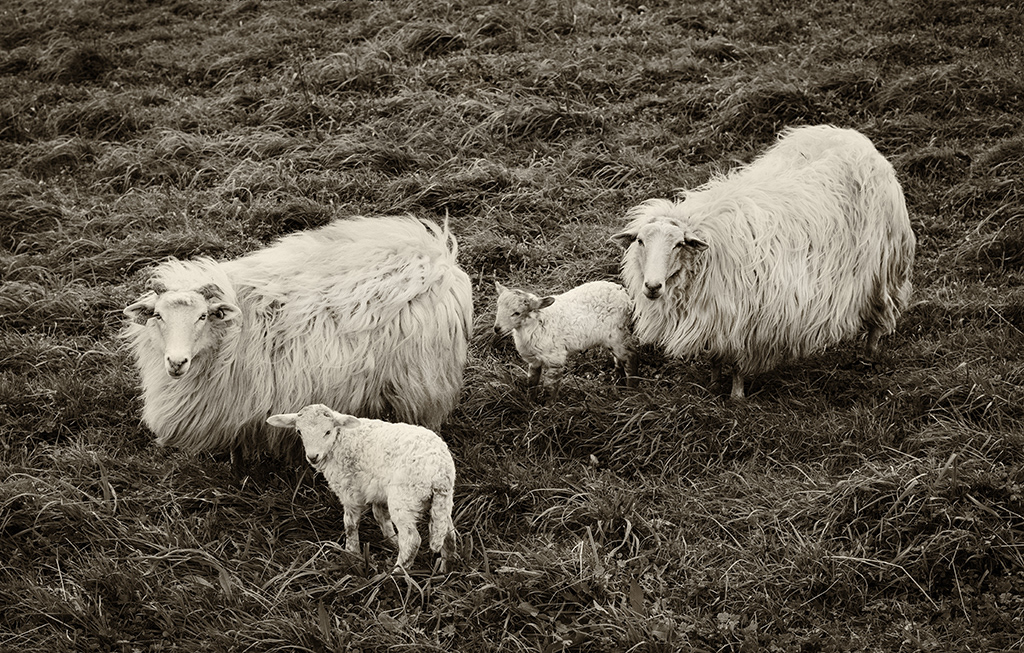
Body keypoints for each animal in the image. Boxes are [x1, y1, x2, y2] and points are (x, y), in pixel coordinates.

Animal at [266, 404, 457, 572]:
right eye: (299, 431)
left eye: (327, 432)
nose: (313, 457)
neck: (339, 440)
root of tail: (440, 471)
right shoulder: (378, 489)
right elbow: (381, 516)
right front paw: (391, 541)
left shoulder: (349, 490)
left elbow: (350, 524)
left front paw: (352, 553)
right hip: (441, 500)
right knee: (448, 533)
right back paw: (444, 570)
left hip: (404, 497)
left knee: (412, 540)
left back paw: (394, 575)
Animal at [492, 280, 638, 401]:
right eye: (498, 307)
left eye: (517, 313)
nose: (497, 329)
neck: (534, 325)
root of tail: (625, 295)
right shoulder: (534, 361)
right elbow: (532, 383)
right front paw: (530, 403)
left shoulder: (555, 358)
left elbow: (550, 387)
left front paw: (548, 408)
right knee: (619, 360)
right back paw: (618, 384)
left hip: (616, 334)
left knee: (630, 356)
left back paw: (631, 391)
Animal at [612, 125, 916, 400]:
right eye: (640, 242)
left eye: (678, 244)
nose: (652, 286)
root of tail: (855, 138)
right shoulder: (716, 314)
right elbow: (715, 355)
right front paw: (713, 385)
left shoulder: (747, 319)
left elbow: (737, 364)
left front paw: (736, 397)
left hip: (885, 268)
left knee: (880, 315)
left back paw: (869, 356)